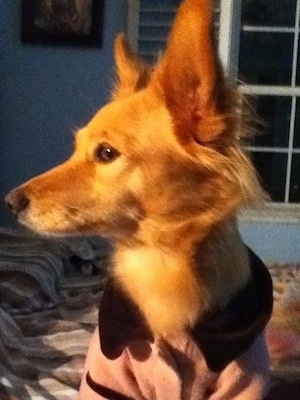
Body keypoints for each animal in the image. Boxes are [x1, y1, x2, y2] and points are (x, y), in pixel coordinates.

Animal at [5, 0, 272, 400]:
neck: (161, 264)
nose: (10, 201)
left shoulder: (244, 385)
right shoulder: (105, 379)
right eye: (76, 148)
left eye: (106, 153)